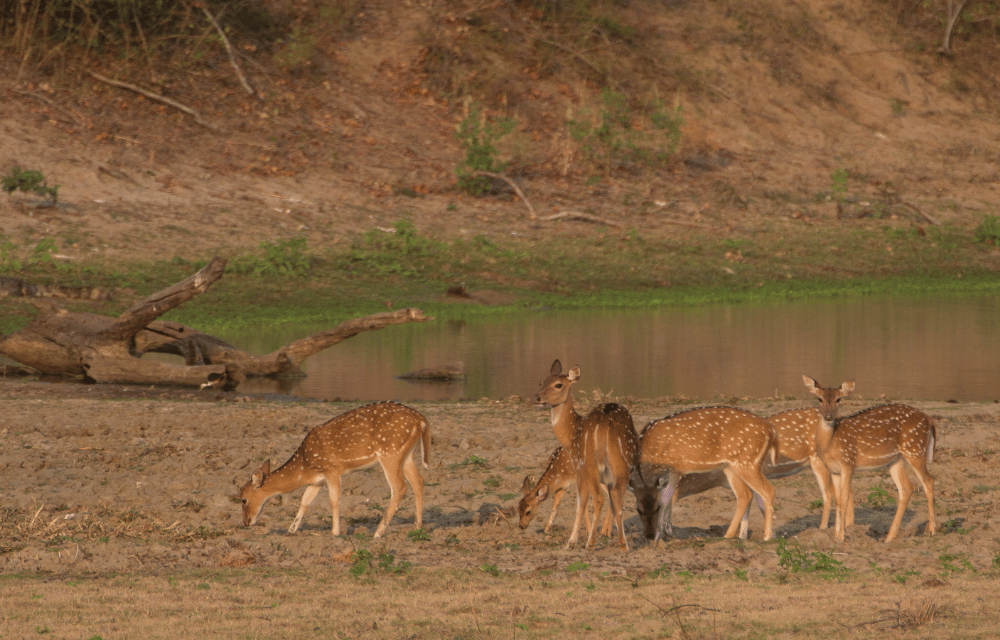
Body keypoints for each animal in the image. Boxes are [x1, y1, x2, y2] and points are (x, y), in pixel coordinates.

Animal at [243, 402, 434, 536]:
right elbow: (305, 500)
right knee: (418, 480)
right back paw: (417, 526)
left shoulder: (332, 469)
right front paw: (291, 530)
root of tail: (422, 420)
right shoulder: (317, 479)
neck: (305, 466)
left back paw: (378, 533)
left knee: (399, 487)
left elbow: (333, 499)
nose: (245, 523)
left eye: (243, 499)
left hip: (390, 452)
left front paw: (335, 532)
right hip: (407, 454)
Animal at [532, 360, 640, 552]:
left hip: (589, 463)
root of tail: (605, 426)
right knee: (618, 498)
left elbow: (580, 503)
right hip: (623, 463)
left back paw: (590, 543)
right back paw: (623, 545)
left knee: (598, 498)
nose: (536, 398)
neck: (571, 436)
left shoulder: (578, 466)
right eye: (542, 382)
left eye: (558, 385)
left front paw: (571, 542)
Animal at [628, 404, 776, 540]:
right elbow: (668, 498)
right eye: (638, 510)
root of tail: (770, 430)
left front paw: (662, 535)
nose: (649, 535)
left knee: (768, 490)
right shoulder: (672, 472)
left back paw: (766, 537)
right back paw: (730, 536)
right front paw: (665, 534)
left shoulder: (675, 468)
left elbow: (666, 499)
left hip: (747, 463)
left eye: (656, 508)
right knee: (745, 495)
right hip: (731, 467)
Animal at [804, 378, 936, 544]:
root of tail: (929, 419)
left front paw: (841, 536)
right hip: (895, 460)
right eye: (819, 399)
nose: (828, 416)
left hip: (915, 450)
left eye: (838, 399)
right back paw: (889, 537)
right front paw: (834, 536)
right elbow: (838, 501)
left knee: (928, 481)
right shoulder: (833, 470)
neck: (830, 444)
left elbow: (844, 500)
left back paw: (932, 530)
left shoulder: (848, 462)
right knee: (906, 488)